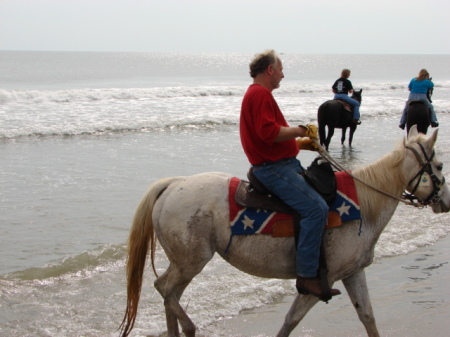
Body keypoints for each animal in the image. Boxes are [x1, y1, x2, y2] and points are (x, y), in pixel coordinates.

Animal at [120, 126, 450, 336]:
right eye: (439, 165)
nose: (445, 202)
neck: (363, 205)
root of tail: (173, 185)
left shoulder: (353, 272)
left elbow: (367, 317)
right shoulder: (321, 282)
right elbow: (291, 320)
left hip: (185, 263)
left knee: (169, 294)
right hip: (191, 261)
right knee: (165, 290)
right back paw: (189, 328)